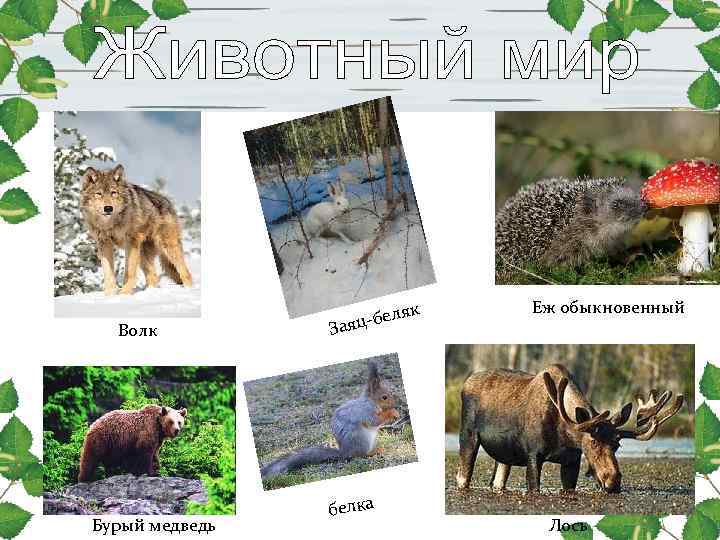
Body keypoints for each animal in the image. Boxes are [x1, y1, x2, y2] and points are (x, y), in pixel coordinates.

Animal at [80, 164, 193, 295]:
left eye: (114, 193)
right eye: (98, 194)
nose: (108, 208)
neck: (110, 223)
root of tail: (167, 201)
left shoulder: (131, 242)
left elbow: (129, 271)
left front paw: (124, 293)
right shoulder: (104, 243)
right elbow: (108, 273)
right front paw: (110, 294)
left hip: (168, 247)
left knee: (185, 272)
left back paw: (189, 289)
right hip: (144, 254)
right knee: (153, 277)